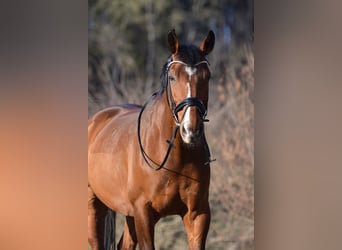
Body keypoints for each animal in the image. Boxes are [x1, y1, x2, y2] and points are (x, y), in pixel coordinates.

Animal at [87, 28, 214, 249]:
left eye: (207, 77)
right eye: (172, 77)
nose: (191, 130)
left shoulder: (198, 214)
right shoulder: (143, 214)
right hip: (95, 203)